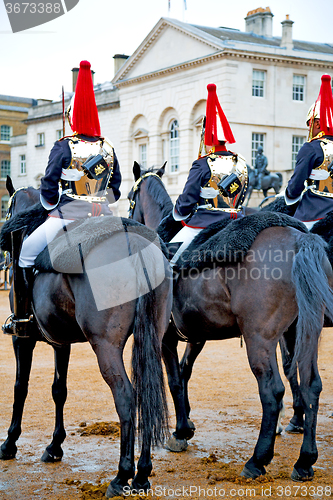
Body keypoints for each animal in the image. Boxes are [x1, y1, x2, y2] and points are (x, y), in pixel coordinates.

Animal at [0, 179, 171, 496]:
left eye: (8, 207)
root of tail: (135, 242)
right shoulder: (61, 342)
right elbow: (59, 390)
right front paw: (54, 446)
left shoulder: (22, 340)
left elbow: (20, 388)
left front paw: (9, 442)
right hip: (151, 340)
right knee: (145, 394)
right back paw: (142, 474)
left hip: (105, 347)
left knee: (126, 396)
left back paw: (122, 475)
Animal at [128, 163, 332, 480]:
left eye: (130, 198)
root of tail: (301, 239)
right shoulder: (196, 334)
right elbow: (185, 373)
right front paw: (187, 424)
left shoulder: (166, 337)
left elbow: (174, 379)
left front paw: (181, 431)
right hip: (302, 331)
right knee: (311, 384)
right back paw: (304, 461)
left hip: (260, 339)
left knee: (272, 391)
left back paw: (258, 459)